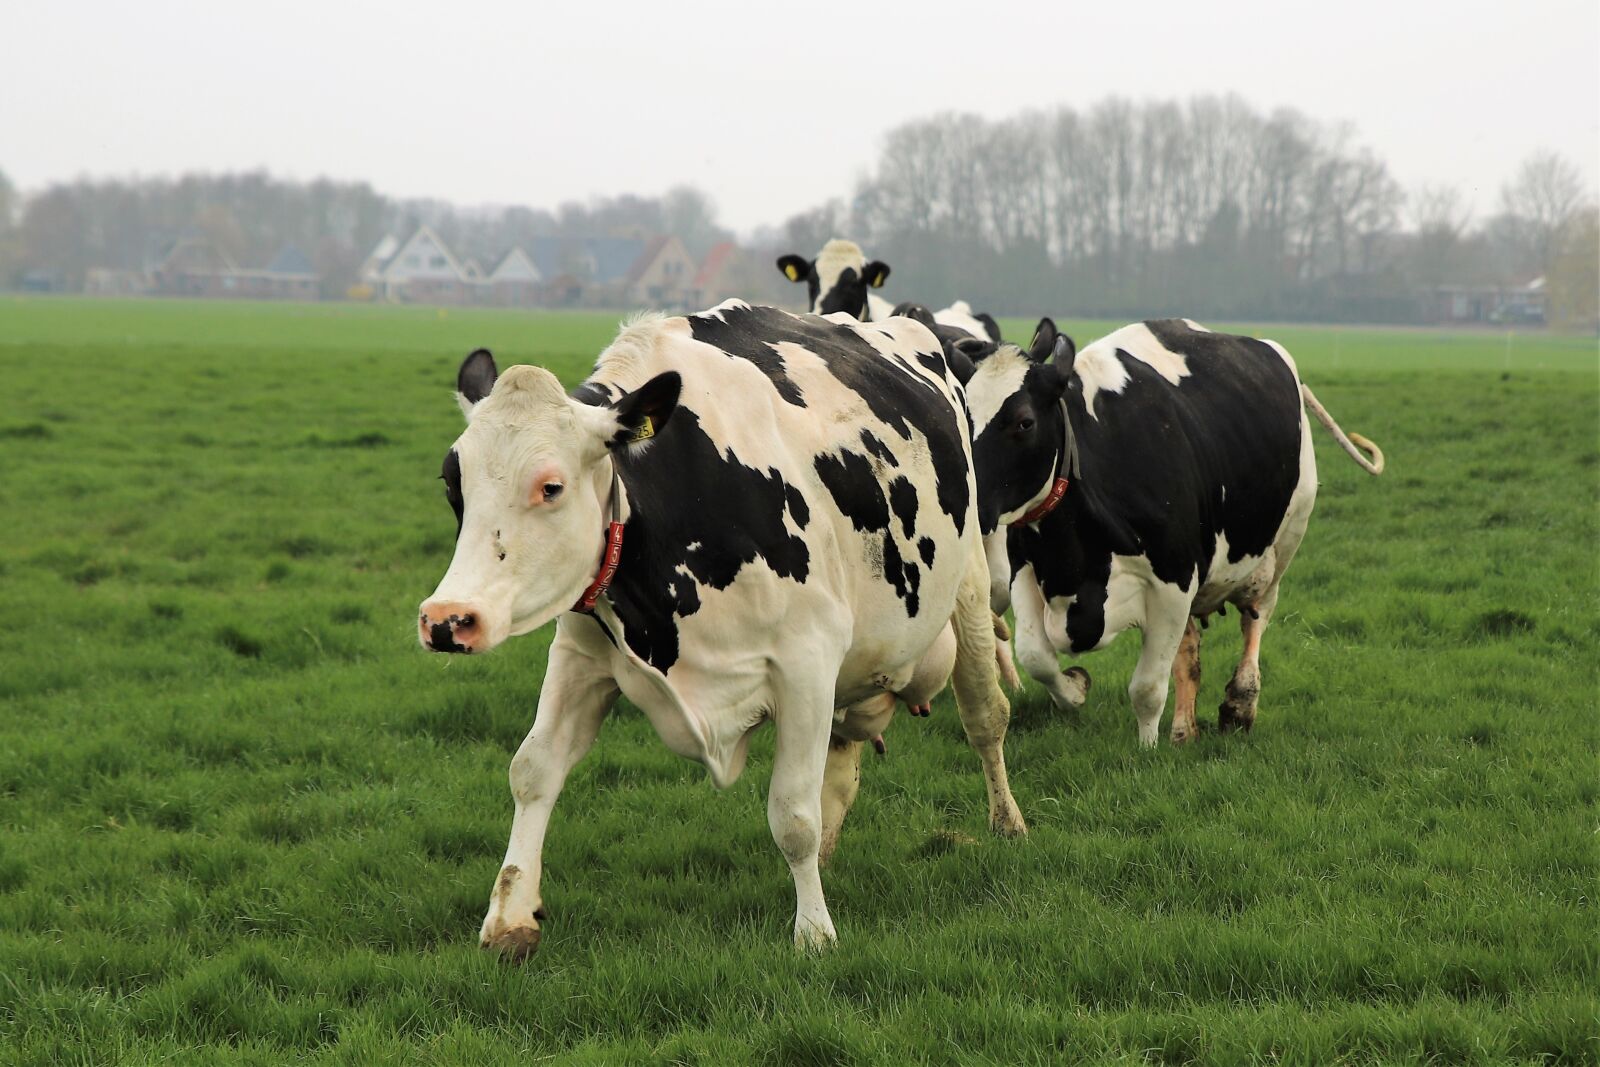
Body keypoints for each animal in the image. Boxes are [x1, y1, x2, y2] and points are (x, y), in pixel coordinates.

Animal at [417, 301, 1026, 958]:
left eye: (551, 486)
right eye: (452, 484)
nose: (447, 619)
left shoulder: (807, 663)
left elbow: (793, 814)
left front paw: (814, 932)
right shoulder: (580, 657)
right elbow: (532, 771)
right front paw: (510, 917)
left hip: (968, 585)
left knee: (985, 717)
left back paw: (1007, 822)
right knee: (842, 764)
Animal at [965, 317, 1384, 747]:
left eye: (1024, 422)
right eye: (962, 412)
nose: (968, 499)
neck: (1075, 555)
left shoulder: (1174, 580)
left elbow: (1147, 687)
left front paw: (1147, 749)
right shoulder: (1025, 568)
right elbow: (1036, 657)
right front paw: (1076, 688)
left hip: (1282, 545)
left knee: (1256, 617)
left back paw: (1240, 704)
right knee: (1189, 649)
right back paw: (1184, 729)